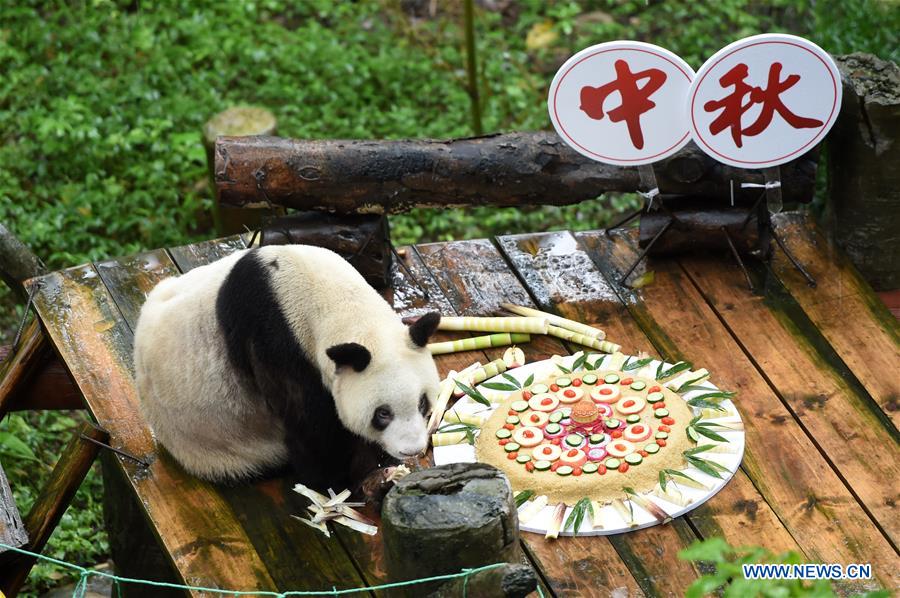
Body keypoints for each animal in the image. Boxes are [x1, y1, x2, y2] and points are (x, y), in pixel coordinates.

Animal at [133, 244, 440, 492]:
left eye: (423, 403)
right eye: (383, 414)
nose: (411, 448)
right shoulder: (275, 342)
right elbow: (311, 429)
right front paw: (344, 476)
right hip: (216, 443)